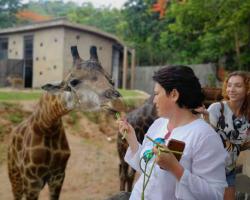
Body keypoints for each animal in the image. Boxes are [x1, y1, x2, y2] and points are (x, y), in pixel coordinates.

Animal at [7, 45, 120, 200]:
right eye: (73, 82)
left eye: (111, 80)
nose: (115, 100)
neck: (47, 126)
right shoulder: (32, 180)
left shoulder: (58, 175)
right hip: (15, 176)